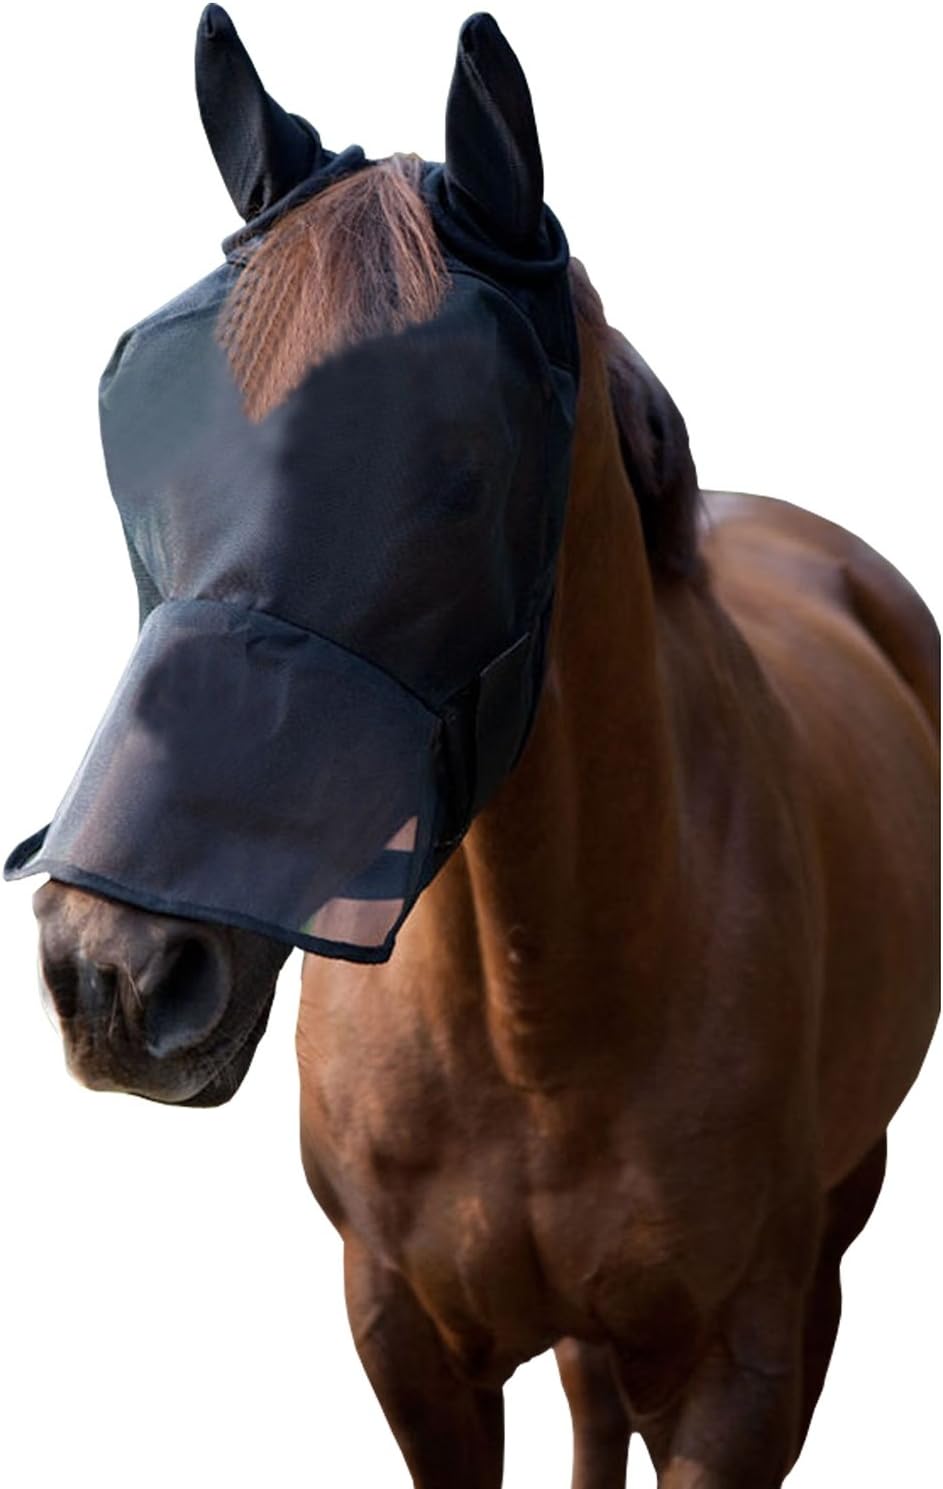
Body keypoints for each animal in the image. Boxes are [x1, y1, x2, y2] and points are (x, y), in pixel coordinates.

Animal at [17, 10, 938, 1488]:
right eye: (148, 461)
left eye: (455, 468)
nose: (112, 971)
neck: (539, 1021)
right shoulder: (406, 1343)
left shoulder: (740, 1372)